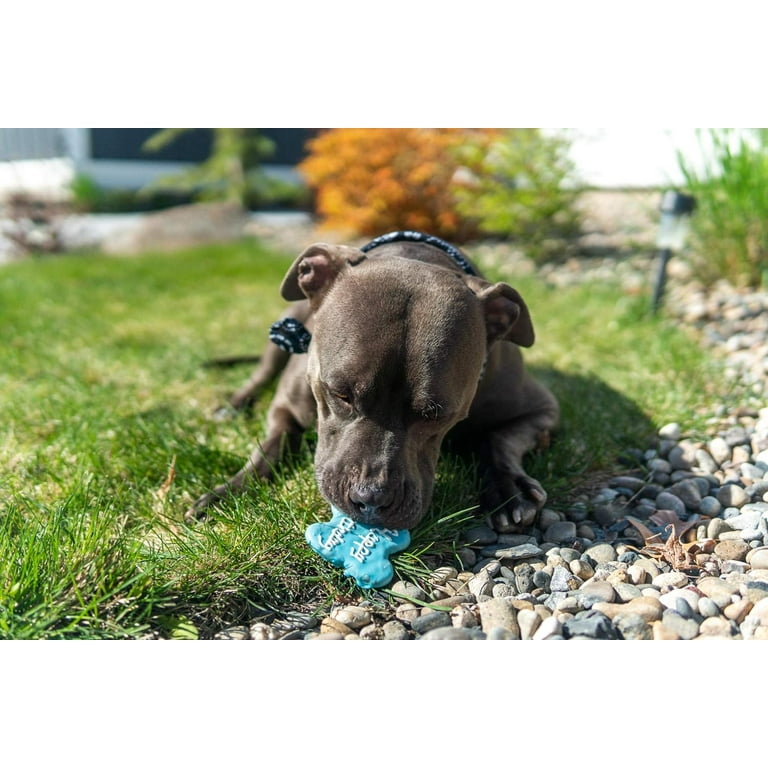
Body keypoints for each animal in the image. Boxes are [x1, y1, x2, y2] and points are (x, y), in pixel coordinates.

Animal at [186, 231, 560, 532]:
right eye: (340, 394)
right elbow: (270, 447)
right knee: (260, 373)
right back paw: (232, 406)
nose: (371, 499)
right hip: (286, 325)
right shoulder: (286, 407)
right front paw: (227, 494)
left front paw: (509, 490)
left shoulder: (541, 409)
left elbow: (498, 440)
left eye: (437, 415)